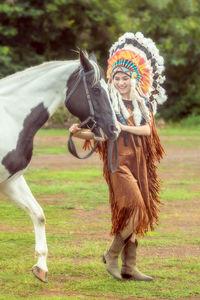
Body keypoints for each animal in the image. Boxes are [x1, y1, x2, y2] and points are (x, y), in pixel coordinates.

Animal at [0, 50, 119, 282]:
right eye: (96, 89)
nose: (114, 128)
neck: (9, 118)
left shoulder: (11, 180)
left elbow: (38, 215)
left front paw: (41, 267)